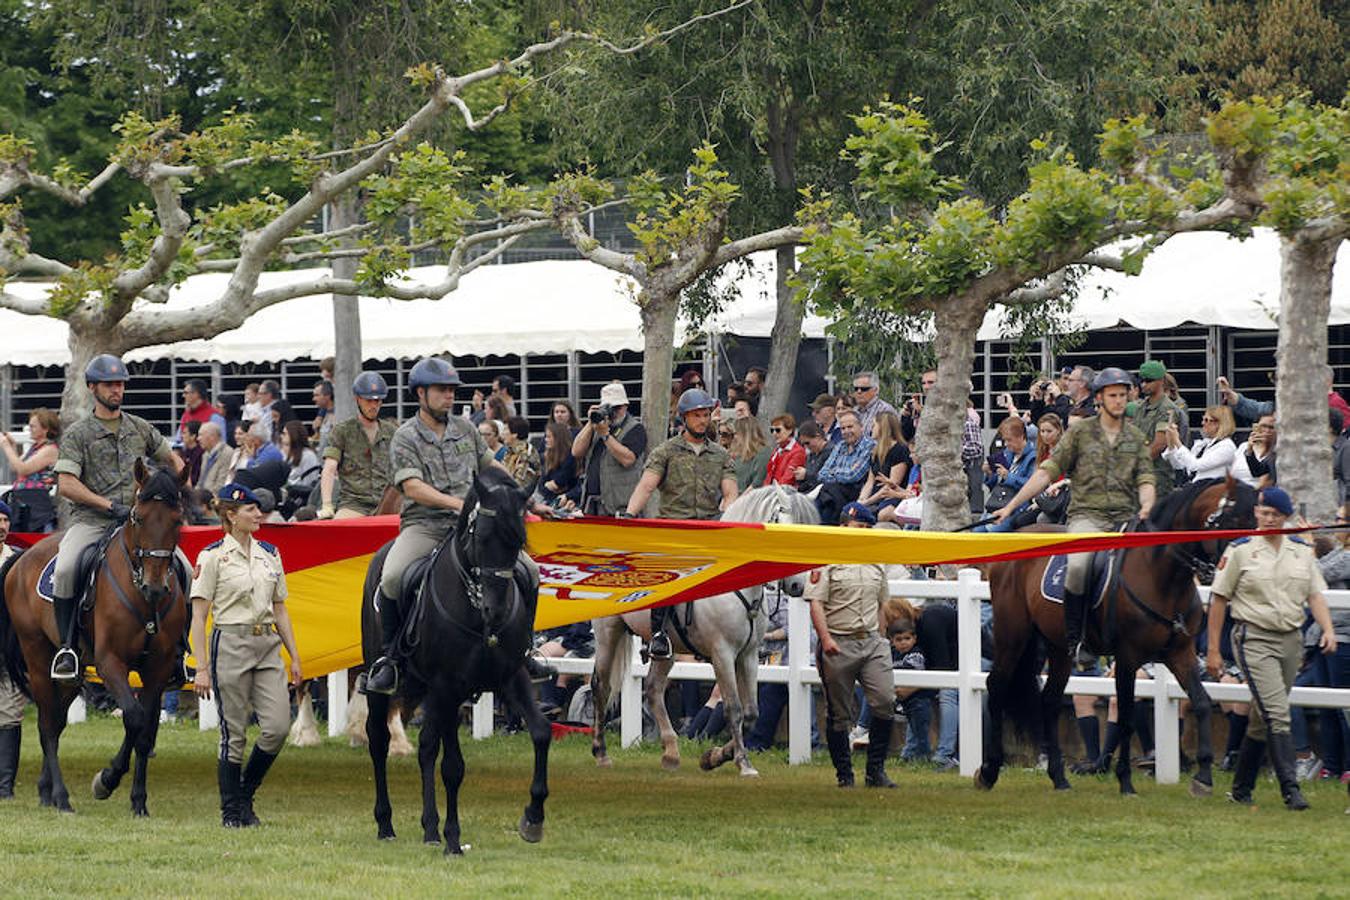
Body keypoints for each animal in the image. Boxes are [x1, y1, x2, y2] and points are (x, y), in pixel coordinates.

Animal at [0, 461, 187, 814]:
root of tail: (23, 556)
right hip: (38, 657)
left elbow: (145, 733)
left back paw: (46, 791)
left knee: (57, 721)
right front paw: (107, 780)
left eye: (177, 519)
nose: (155, 586)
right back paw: (61, 798)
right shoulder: (110, 663)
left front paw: (138, 802)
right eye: (137, 517)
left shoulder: (158, 669)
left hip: (72, 678)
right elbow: (134, 717)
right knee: (47, 727)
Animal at [361, 469, 550, 858]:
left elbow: (541, 732)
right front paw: (450, 838)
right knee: (380, 741)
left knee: (431, 747)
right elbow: (448, 765)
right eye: (482, 537)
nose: (495, 610)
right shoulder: (447, 685)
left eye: (518, 541)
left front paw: (533, 819)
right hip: (387, 686)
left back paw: (427, 826)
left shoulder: (512, 677)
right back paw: (387, 824)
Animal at [594, 488, 820, 777]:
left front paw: (714, 757)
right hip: (608, 633)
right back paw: (601, 753)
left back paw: (671, 754)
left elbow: (751, 712)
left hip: (666, 652)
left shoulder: (748, 655)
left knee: (653, 690)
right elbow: (734, 709)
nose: (797, 586)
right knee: (601, 687)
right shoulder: (722, 654)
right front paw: (743, 764)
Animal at [982, 477, 1252, 793]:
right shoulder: (1128, 656)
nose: (1239, 568)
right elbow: (1125, 718)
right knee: (997, 686)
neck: (1160, 574)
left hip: (1058, 646)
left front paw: (1204, 777)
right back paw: (988, 771)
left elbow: (1201, 702)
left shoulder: (1179, 652)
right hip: (1012, 634)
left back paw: (1059, 777)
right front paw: (1125, 780)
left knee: (1049, 700)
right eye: (1233, 520)